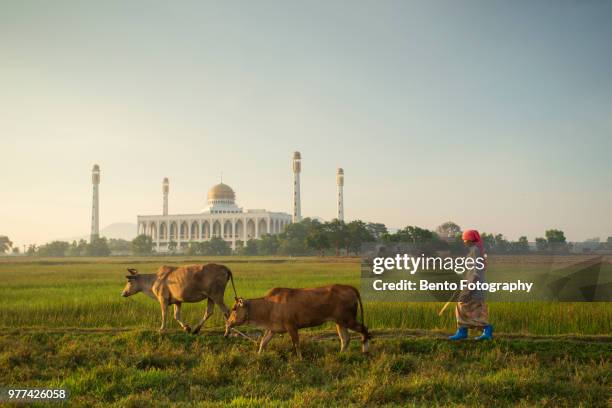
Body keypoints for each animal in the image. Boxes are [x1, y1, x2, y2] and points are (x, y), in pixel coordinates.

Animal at [224, 284, 370, 356]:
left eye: (234, 308)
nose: (228, 323)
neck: (269, 306)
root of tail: (348, 287)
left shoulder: (292, 327)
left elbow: (296, 345)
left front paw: (300, 359)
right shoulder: (272, 329)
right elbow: (263, 343)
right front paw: (258, 356)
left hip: (348, 320)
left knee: (364, 330)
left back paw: (365, 351)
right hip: (339, 322)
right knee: (345, 339)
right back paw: (341, 355)